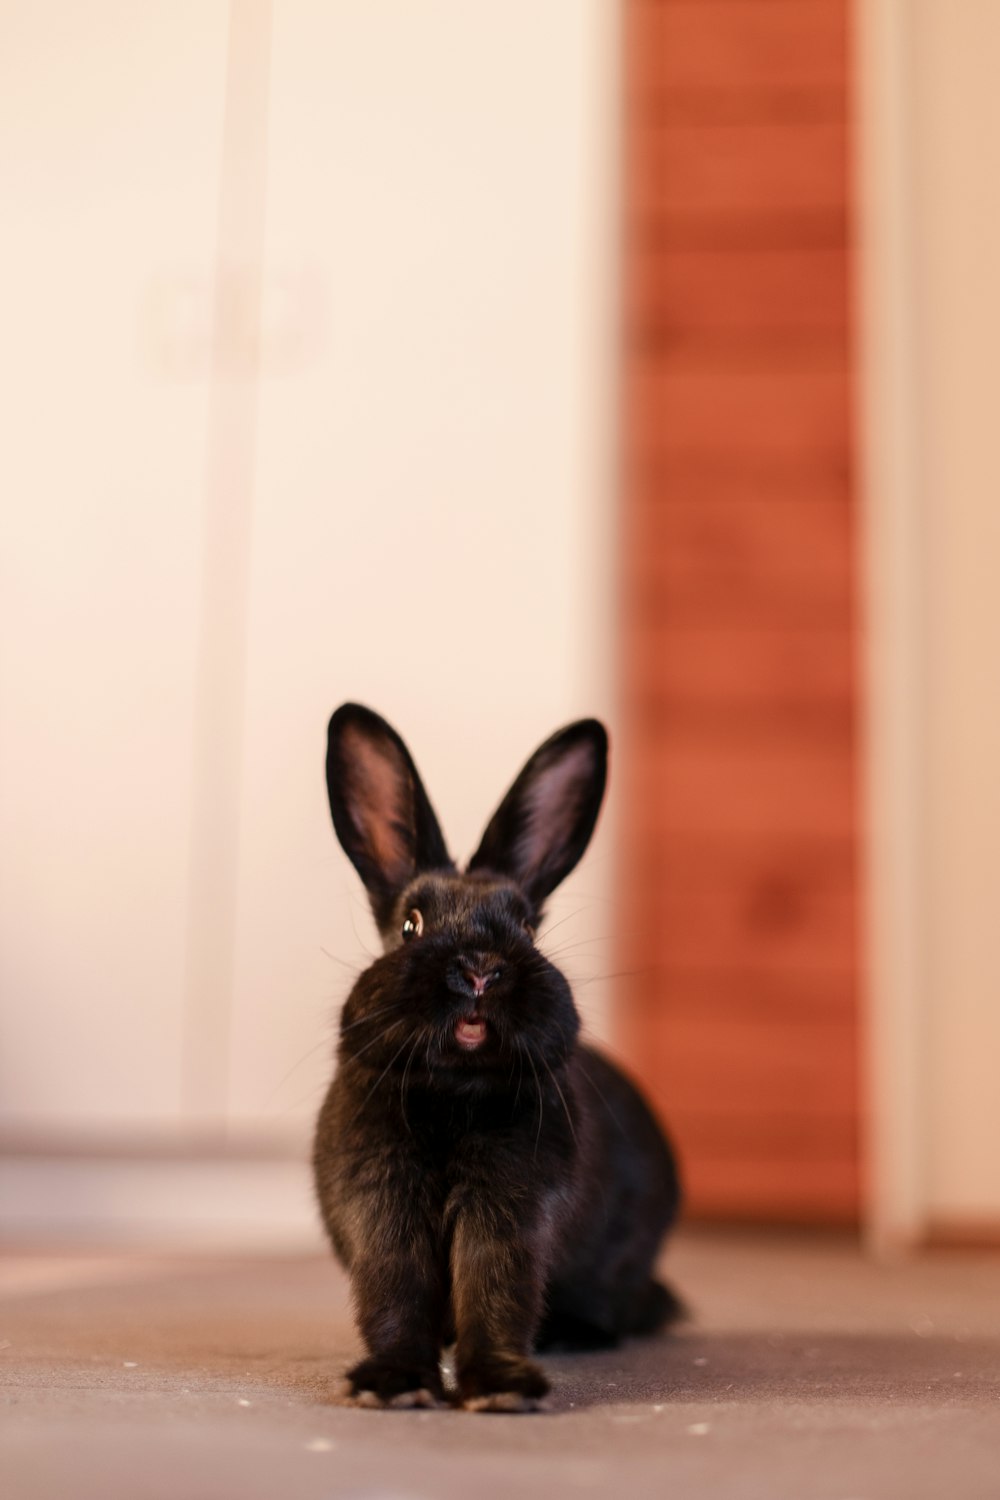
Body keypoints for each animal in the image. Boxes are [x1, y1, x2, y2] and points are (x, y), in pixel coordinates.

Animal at [316, 702, 683, 1404]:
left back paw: (574, 1333)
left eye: (528, 928)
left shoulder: (514, 1199)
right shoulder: (379, 1198)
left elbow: (495, 1280)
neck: (454, 1091)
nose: (480, 969)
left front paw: (500, 1384)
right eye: (411, 925)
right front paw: (393, 1380)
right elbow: (394, 1284)